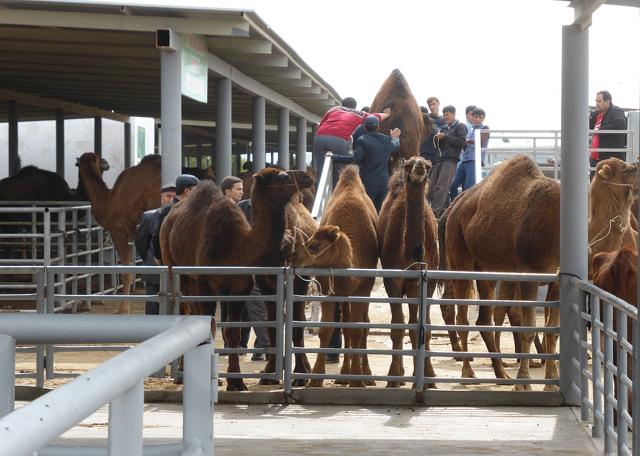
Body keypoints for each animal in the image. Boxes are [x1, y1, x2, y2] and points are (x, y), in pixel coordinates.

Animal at [160, 167, 316, 392]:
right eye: (282, 176)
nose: (307, 177)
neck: (236, 247)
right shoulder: (204, 284)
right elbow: (209, 328)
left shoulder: (241, 286)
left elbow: (232, 331)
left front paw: (235, 382)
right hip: (175, 267)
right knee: (185, 309)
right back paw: (181, 375)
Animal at [292, 166, 378, 386]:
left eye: (314, 245)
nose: (293, 256)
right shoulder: (329, 288)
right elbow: (327, 329)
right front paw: (316, 378)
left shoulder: (363, 288)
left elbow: (358, 329)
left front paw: (357, 379)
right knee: (346, 323)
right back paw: (343, 374)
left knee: (363, 325)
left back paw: (366, 374)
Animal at [380, 157, 440, 388]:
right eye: (409, 165)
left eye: (429, 165)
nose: (419, 167)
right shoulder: (393, 279)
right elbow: (397, 327)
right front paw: (393, 378)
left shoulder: (424, 281)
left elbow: (423, 327)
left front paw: (428, 379)